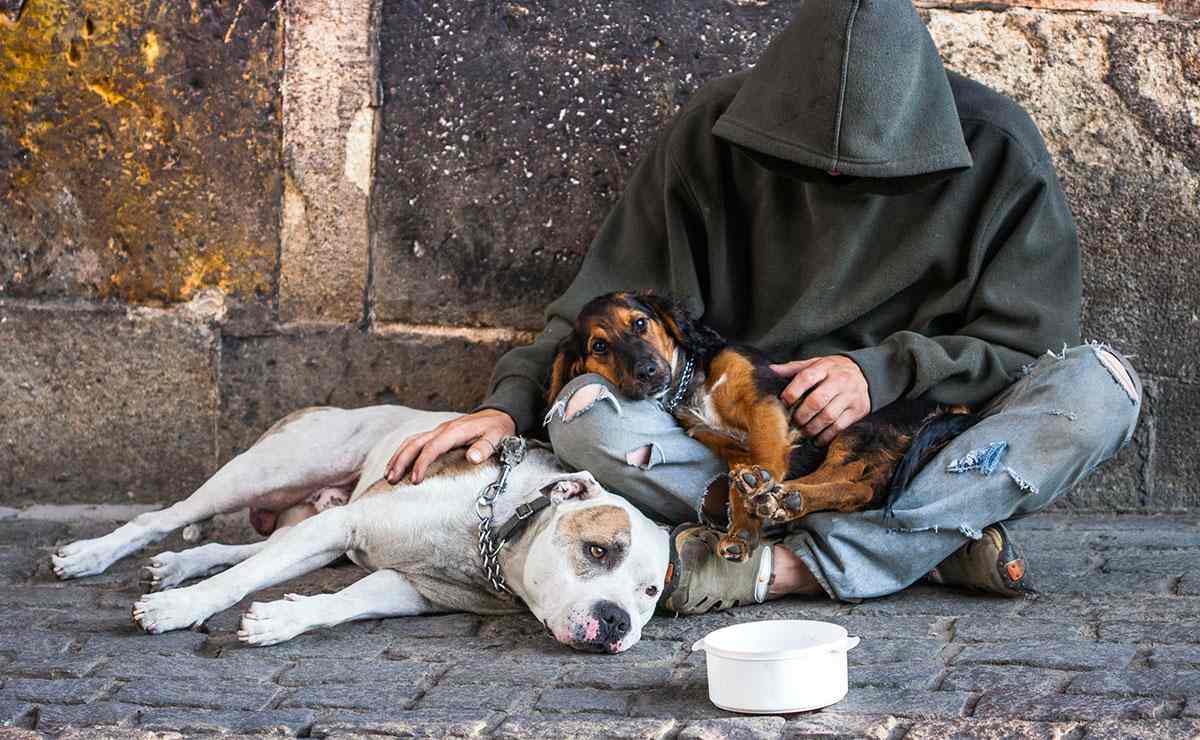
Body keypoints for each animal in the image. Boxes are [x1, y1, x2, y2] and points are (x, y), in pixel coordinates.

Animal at [51, 407, 672, 657]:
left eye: (649, 593)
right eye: (598, 550)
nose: (617, 621)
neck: (496, 536)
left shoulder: (409, 588)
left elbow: (341, 604)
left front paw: (281, 620)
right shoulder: (347, 524)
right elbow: (239, 581)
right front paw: (180, 609)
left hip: (310, 520)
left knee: (245, 548)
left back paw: (179, 564)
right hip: (266, 472)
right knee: (165, 517)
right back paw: (89, 555)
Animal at [549, 289, 979, 558]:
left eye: (640, 323)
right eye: (599, 347)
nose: (647, 372)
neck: (691, 385)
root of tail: (953, 409)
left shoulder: (765, 404)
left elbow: (767, 451)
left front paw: (759, 488)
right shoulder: (724, 444)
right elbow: (739, 480)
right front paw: (742, 531)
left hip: (857, 428)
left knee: (849, 479)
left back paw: (785, 497)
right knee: (858, 489)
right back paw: (784, 502)